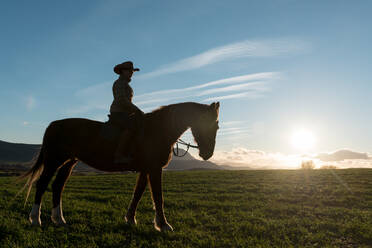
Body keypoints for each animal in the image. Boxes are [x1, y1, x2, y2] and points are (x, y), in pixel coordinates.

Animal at [19, 100, 218, 231]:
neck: (157, 130)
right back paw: (35, 219)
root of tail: (53, 125)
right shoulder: (154, 169)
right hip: (54, 160)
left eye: (216, 126)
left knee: (57, 186)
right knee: (42, 184)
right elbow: (158, 197)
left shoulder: (146, 169)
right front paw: (163, 225)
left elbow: (138, 193)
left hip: (69, 162)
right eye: (210, 125)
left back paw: (59, 219)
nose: (207, 154)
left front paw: (130, 219)